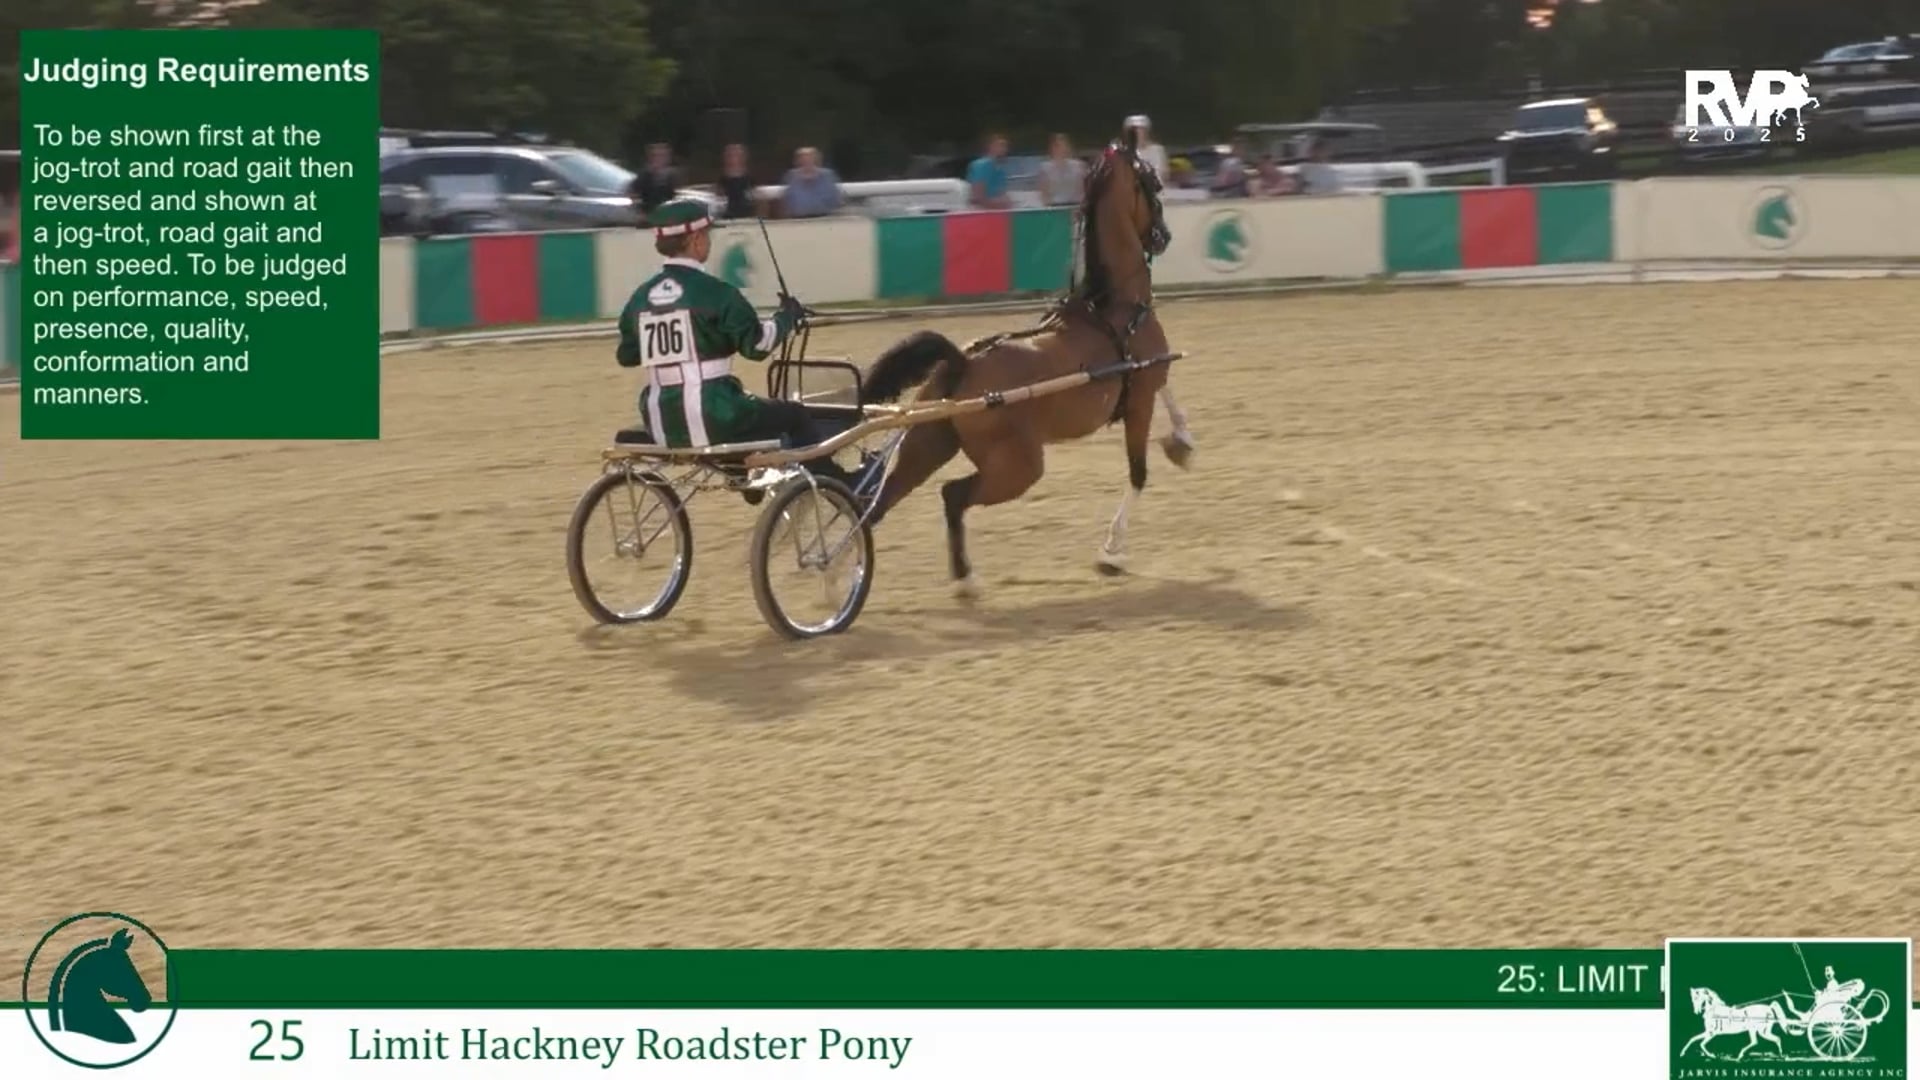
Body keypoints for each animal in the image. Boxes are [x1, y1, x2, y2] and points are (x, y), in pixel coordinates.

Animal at [856, 126, 1192, 597]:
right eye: (1153, 182)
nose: (1163, 235)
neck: (1117, 310)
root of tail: (962, 362)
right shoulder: (1141, 395)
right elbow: (1138, 473)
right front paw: (1111, 553)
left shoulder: (1150, 377)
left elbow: (1171, 398)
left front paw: (1183, 442)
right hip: (1019, 466)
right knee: (951, 495)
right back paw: (962, 578)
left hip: (928, 445)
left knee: (875, 505)